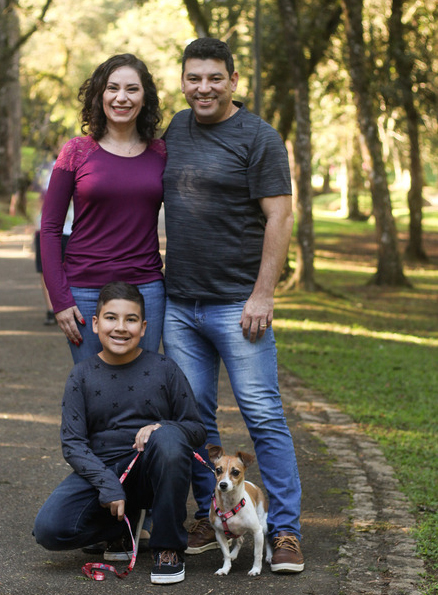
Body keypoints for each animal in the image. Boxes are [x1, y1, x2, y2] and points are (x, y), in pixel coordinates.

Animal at [205, 442, 270, 576]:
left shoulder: (257, 531)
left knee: (268, 539)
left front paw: (256, 569)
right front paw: (225, 568)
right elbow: (225, 553)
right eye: (218, 470)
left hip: (263, 524)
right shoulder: (219, 534)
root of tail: (253, 485)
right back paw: (233, 554)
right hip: (236, 530)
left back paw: (270, 556)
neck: (230, 504)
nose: (223, 484)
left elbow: (257, 554)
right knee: (240, 539)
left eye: (235, 472)